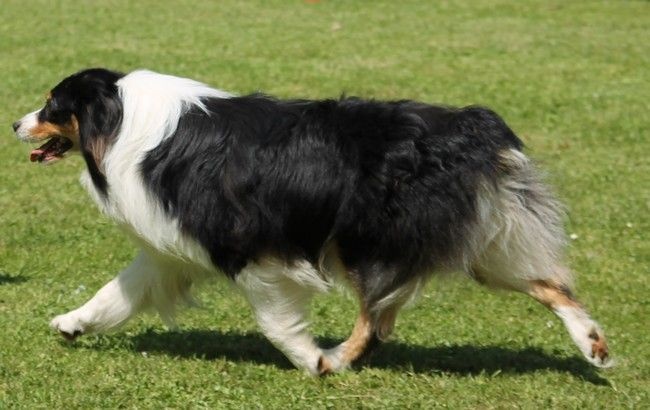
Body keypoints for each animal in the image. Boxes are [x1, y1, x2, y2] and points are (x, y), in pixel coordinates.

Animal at [11, 68, 608, 374]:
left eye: (51, 104)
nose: (16, 123)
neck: (124, 119)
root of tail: (470, 128)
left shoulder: (251, 250)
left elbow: (275, 321)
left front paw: (308, 359)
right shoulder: (170, 248)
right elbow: (118, 291)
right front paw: (72, 323)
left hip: (367, 242)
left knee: (377, 318)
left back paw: (337, 357)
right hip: (481, 241)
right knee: (551, 284)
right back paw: (593, 344)